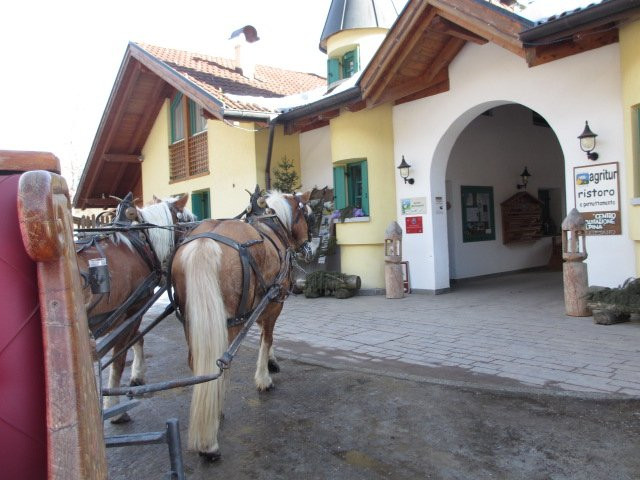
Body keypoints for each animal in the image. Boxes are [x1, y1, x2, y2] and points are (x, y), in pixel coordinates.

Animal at [75, 193, 195, 422]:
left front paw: (138, 375)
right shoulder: (132, 310)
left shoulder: (125, 315)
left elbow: (137, 338)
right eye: (186, 220)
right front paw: (114, 407)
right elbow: (119, 359)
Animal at [171, 189, 314, 460]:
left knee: (199, 364)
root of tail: (205, 243)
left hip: (191, 322)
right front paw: (264, 377)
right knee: (220, 362)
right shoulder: (274, 302)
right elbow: (267, 337)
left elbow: (263, 334)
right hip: (231, 322)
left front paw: (272, 361)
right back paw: (210, 439)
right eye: (308, 214)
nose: (308, 248)